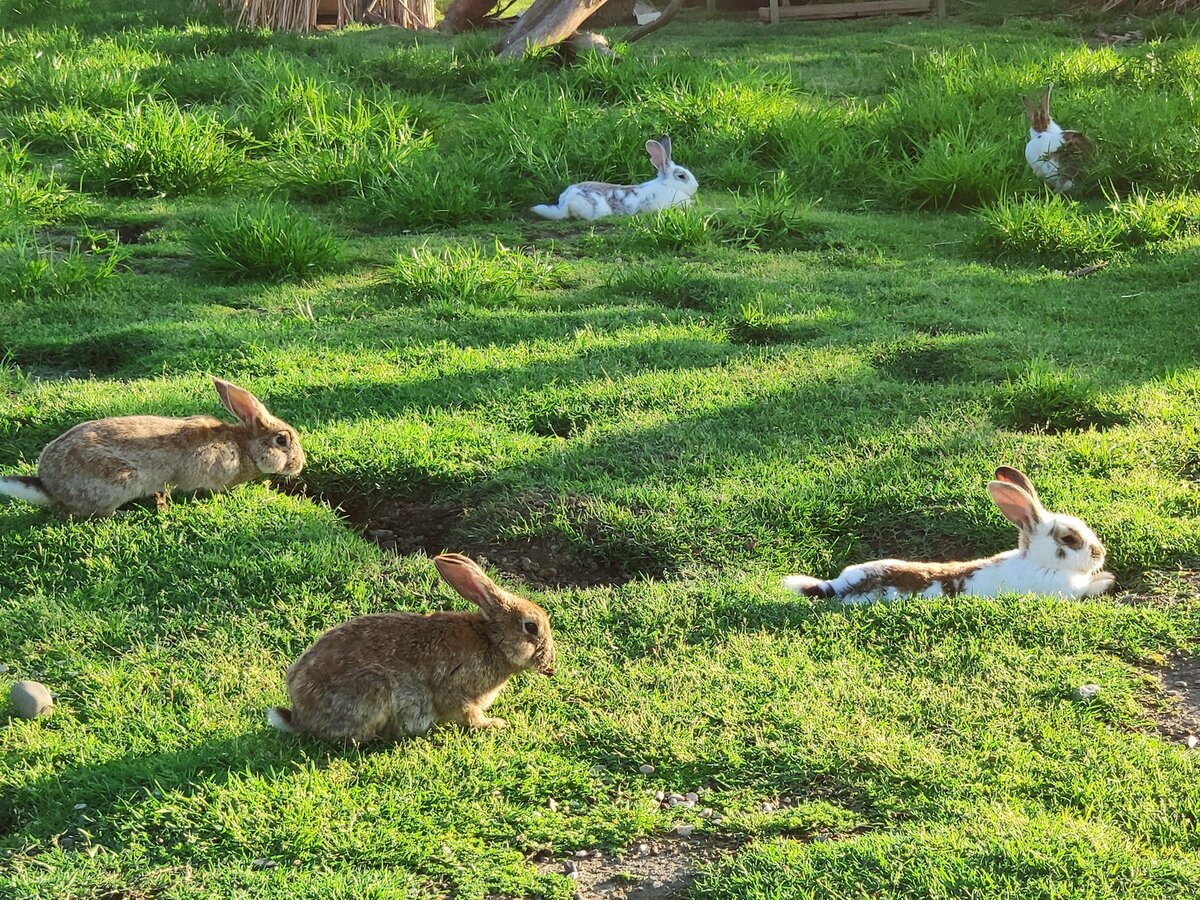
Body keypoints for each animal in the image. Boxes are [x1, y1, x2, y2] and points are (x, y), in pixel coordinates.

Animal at [267, 556, 556, 748]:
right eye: (531, 627)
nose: (551, 664)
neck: (491, 640)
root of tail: (299, 715)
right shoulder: (459, 692)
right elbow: (469, 716)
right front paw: (495, 724)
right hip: (373, 686)